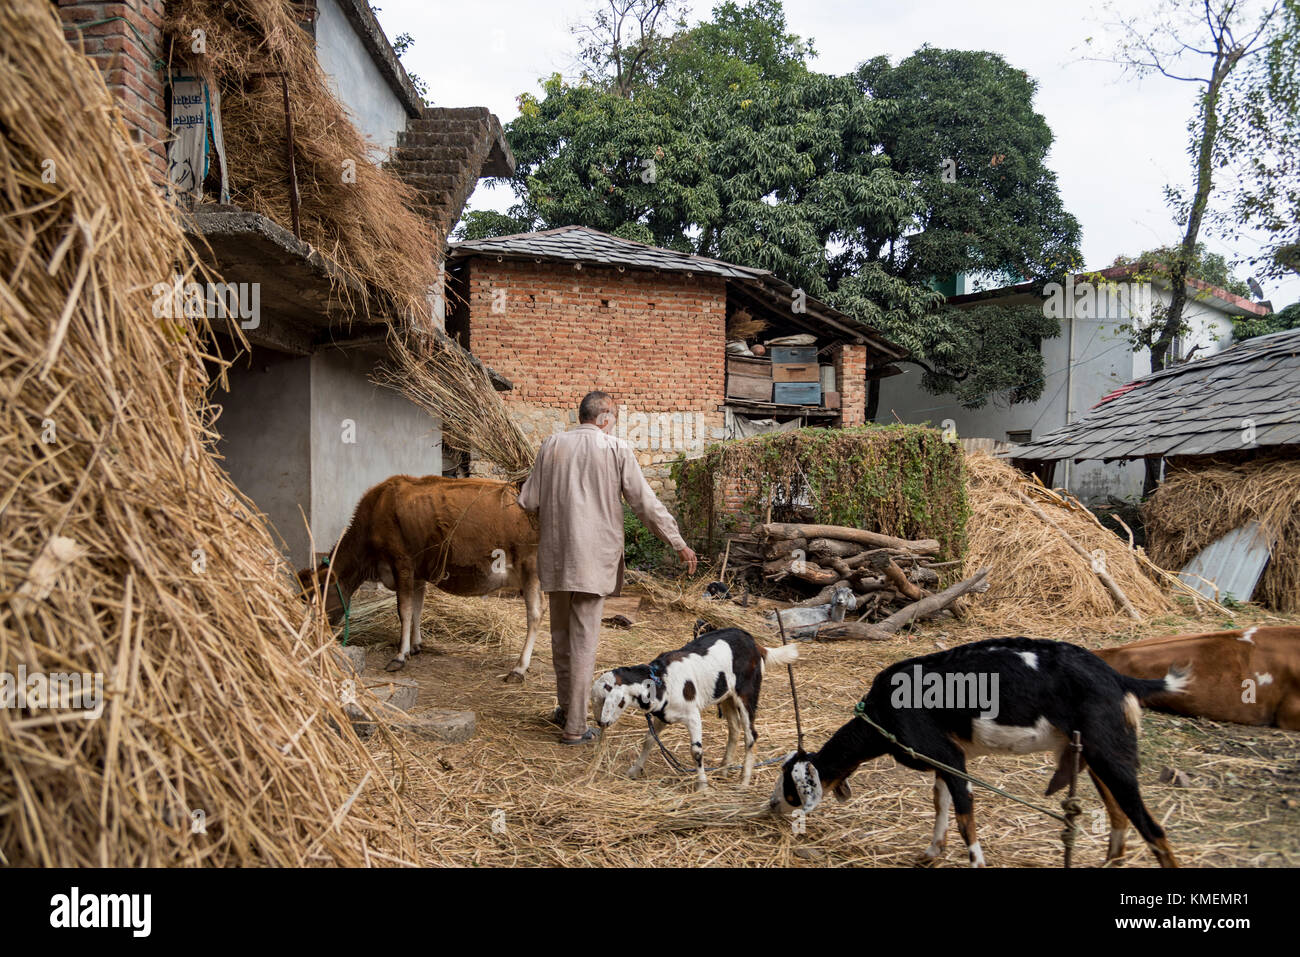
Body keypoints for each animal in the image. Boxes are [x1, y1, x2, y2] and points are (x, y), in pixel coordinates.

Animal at [296, 475, 543, 676]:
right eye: (303, 597)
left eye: (316, 596)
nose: (311, 633)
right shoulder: (418, 574)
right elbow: (417, 608)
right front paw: (415, 646)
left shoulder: (402, 564)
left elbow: (404, 611)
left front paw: (399, 656)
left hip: (530, 568)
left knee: (535, 615)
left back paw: (519, 669)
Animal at [595, 624, 795, 790]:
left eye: (605, 699)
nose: (600, 723)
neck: (660, 679)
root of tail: (756, 645)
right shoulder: (664, 716)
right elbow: (649, 740)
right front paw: (635, 771)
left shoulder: (692, 716)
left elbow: (696, 751)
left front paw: (702, 787)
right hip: (727, 697)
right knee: (734, 729)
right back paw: (723, 770)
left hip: (747, 693)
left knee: (751, 735)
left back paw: (743, 782)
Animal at [769, 634, 1190, 868]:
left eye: (790, 787)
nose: (772, 807)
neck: (882, 715)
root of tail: (1120, 679)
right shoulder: (945, 758)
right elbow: (939, 804)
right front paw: (930, 853)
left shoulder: (951, 760)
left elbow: (963, 818)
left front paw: (976, 861)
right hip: (1096, 756)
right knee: (1119, 816)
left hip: (1110, 753)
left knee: (1151, 828)